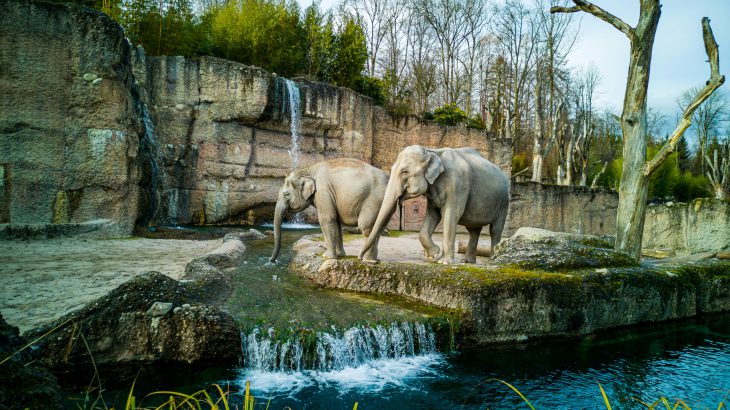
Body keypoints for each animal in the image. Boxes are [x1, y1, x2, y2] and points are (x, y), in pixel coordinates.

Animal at [356, 146, 506, 264]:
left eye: (404, 172)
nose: (360, 259)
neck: (431, 151)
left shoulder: (458, 185)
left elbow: (451, 215)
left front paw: (443, 261)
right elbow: (432, 216)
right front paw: (432, 255)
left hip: (504, 202)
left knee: (495, 230)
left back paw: (492, 260)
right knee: (473, 230)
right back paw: (467, 261)